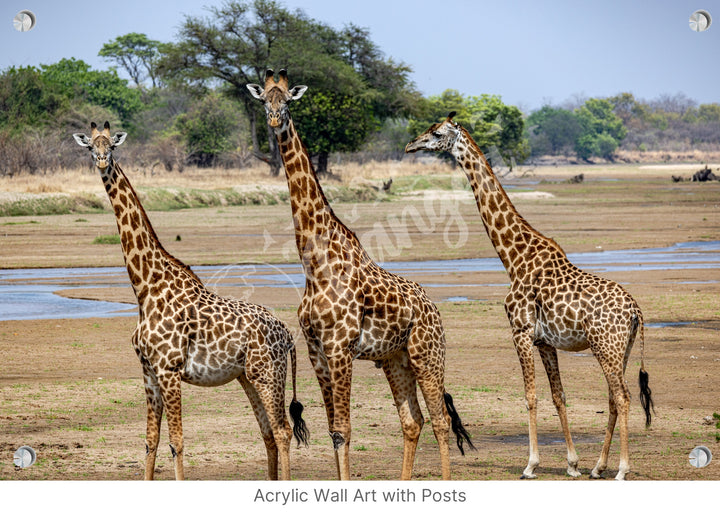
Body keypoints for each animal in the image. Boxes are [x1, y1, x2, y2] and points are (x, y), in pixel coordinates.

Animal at [71, 122, 308, 480]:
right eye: (90, 147)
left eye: (111, 145)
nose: (101, 161)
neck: (145, 287)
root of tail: (288, 335)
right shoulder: (148, 370)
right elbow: (151, 441)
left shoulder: (168, 369)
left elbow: (177, 442)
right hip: (247, 376)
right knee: (267, 431)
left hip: (269, 373)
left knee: (281, 431)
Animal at [248, 69, 472, 480]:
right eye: (263, 99)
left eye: (287, 100)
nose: (274, 120)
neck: (314, 264)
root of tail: (433, 308)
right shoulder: (317, 350)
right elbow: (334, 430)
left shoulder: (341, 348)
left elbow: (344, 429)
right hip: (396, 359)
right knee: (412, 420)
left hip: (428, 354)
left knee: (441, 421)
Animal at [404, 113, 652, 480]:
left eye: (435, 133)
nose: (410, 145)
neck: (514, 258)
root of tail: (636, 311)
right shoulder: (545, 341)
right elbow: (558, 396)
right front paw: (572, 464)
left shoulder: (519, 331)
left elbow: (530, 396)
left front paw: (531, 464)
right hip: (621, 347)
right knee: (612, 397)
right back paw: (598, 466)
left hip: (606, 345)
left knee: (622, 397)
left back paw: (621, 469)